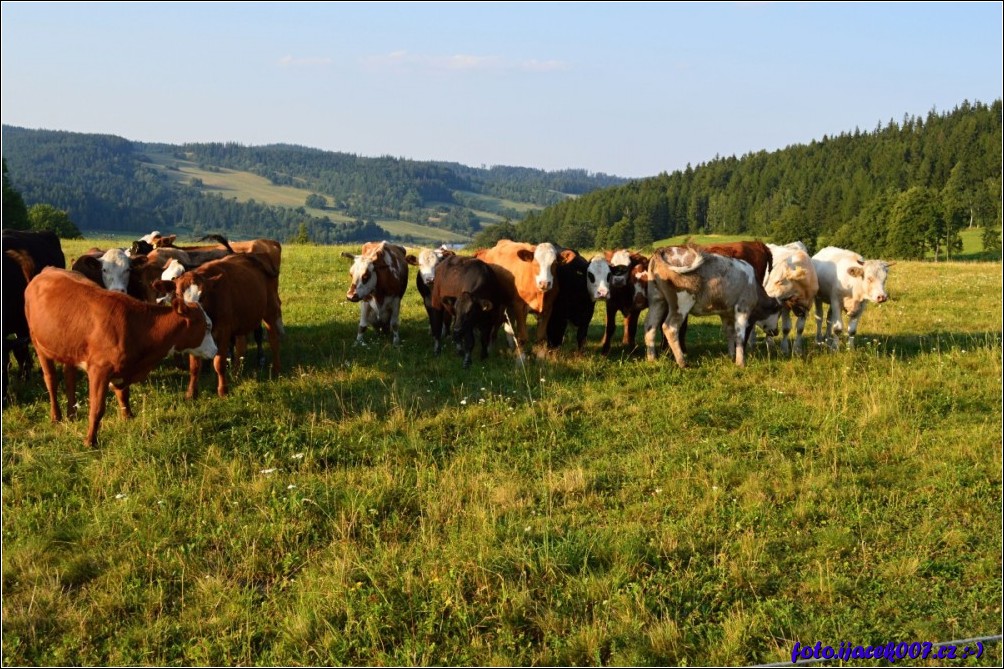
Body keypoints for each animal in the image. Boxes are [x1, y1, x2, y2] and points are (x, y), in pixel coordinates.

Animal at [23, 265, 215, 441]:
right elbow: (97, 409)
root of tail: (47, 270)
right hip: (39, 345)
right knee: (51, 381)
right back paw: (56, 417)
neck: (138, 326)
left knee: (70, 379)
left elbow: (123, 395)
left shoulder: (123, 369)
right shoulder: (99, 370)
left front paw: (128, 418)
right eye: (207, 326)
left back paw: (72, 414)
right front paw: (90, 441)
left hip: (69, 349)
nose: (215, 350)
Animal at [155, 250, 283, 395]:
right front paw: (191, 393)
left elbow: (219, 362)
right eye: (177, 294)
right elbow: (194, 366)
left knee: (273, 341)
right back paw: (236, 373)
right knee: (241, 346)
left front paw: (223, 390)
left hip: (270, 311)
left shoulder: (223, 332)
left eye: (203, 295)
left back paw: (276, 370)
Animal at [646, 245, 779, 367]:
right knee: (670, 328)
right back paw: (682, 362)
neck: (754, 286)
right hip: (681, 303)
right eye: (777, 314)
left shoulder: (725, 313)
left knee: (650, 326)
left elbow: (729, 332)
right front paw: (740, 363)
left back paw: (652, 359)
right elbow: (740, 336)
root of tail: (662, 250)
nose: (777, 331)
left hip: (656, 300)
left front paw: (731, 356)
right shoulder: (743, 308)